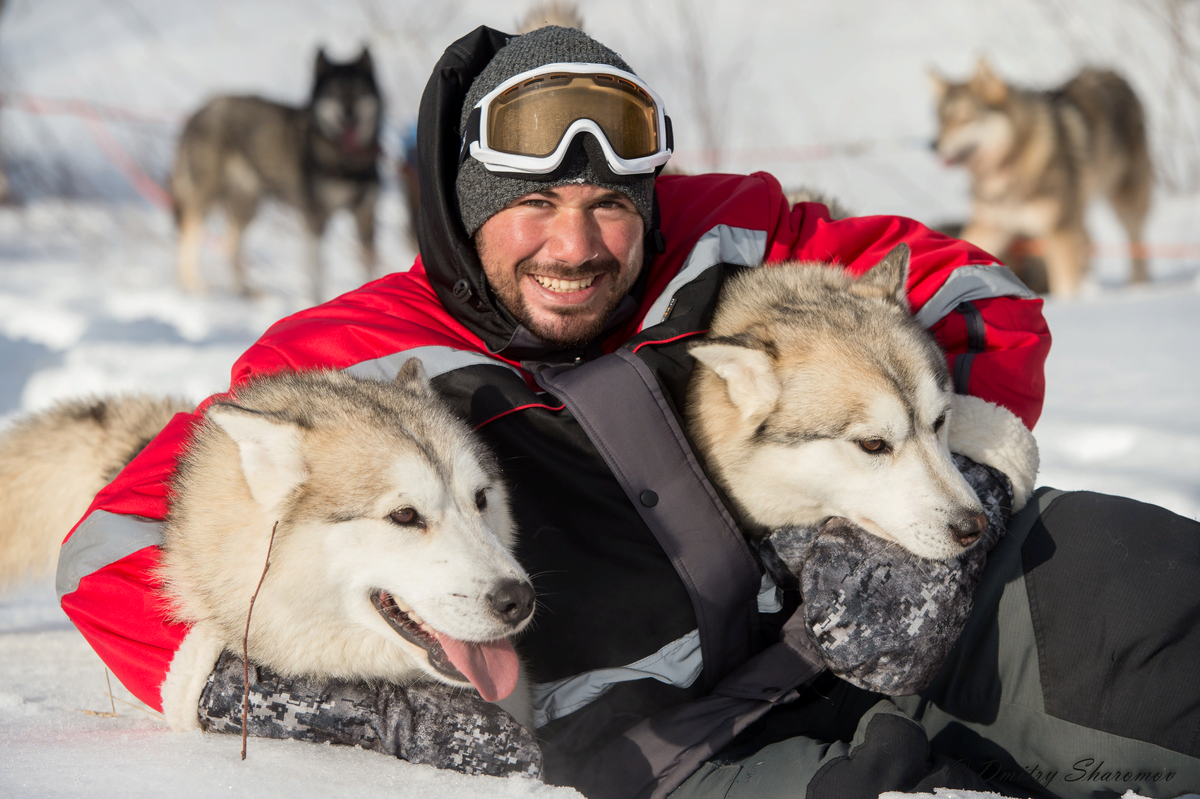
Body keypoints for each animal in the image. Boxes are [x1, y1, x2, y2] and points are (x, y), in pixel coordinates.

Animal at [170, 47, 379, 302]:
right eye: (333, 93)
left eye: (359, 91)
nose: (349, 114)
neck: (343, 156)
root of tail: (199, 112)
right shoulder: (315, 218)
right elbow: (317, 272)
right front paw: (317, 301)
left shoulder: (365, 215)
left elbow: (369, 264)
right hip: (207, 196)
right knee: (188, 236)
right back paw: (192, 284)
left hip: (246, 204)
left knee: (230, 246)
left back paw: (245, 291)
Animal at [926, 59, 1152, 295]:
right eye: (941, 120)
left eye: (964, 118)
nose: (933, 145)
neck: (1013, 163)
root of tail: (1109, 71)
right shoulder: (991, 224)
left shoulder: (1059, 231)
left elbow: (1066, 287)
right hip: (1077, 211)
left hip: (1125, 202)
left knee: (1136, 243)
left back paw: (1138, 288)